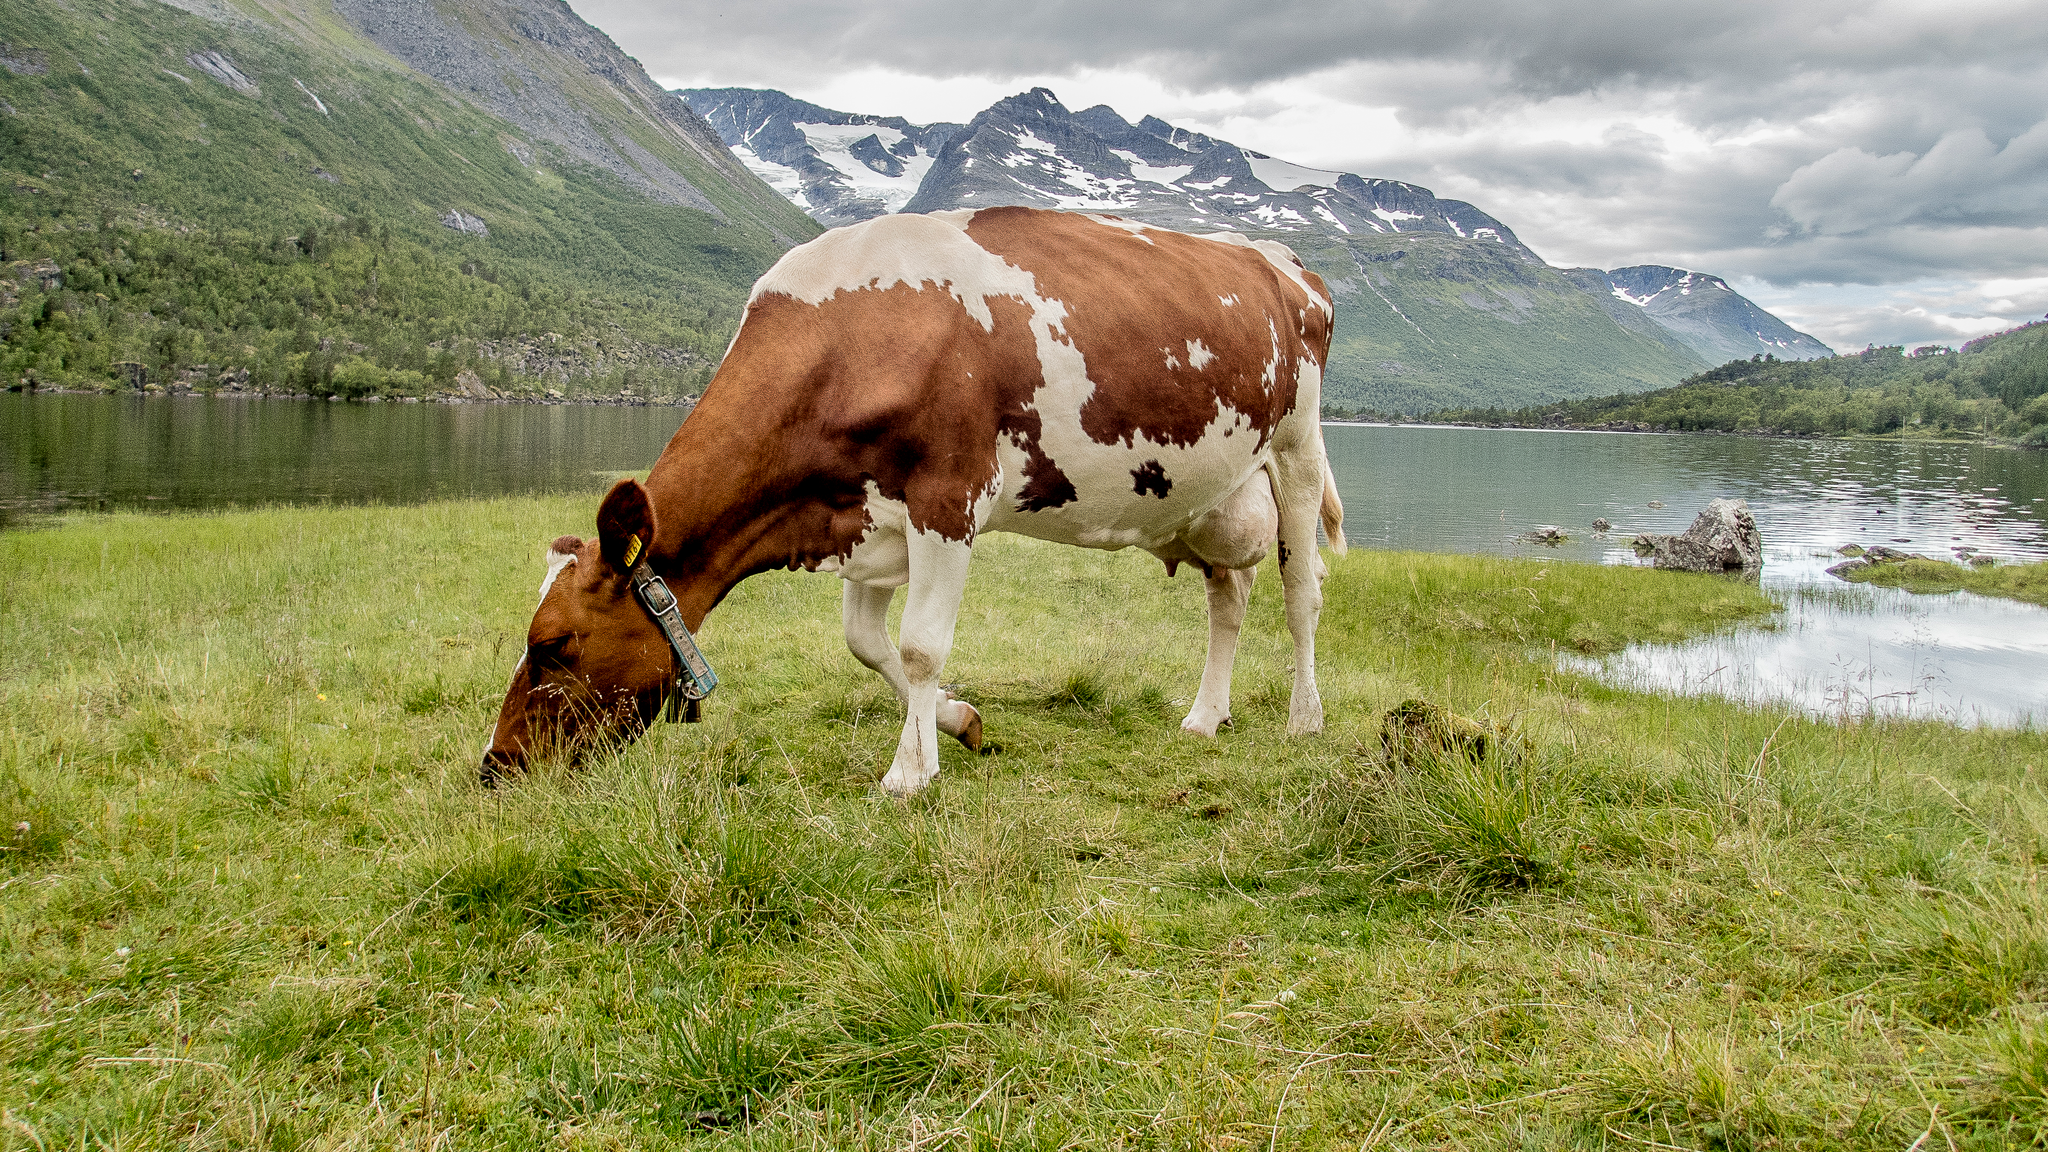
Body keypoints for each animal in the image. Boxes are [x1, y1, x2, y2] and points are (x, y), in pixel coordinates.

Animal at [482, 206, 1345, 795]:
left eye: (553, 643)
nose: (494, 765)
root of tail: (1280, 260)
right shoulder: (863, 516)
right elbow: (869, 644)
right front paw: (955, 725)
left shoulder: (947, 497)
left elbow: (923, 643)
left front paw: (908, 771)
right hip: (1213, 493)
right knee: (1229, 594)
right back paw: (1205, 716)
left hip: (1298, 447)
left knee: (1301, 592)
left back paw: (1305, 719)